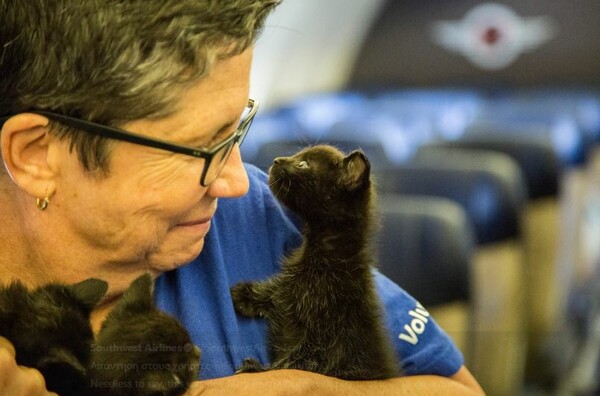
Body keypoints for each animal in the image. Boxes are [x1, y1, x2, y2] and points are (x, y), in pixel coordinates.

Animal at [232, 144, 400, 378]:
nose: (277, 160)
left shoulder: (329, 338)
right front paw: (245, 294)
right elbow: (277, 291)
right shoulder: (291, 287)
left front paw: (259, 369)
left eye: (304, 164)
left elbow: (300, 360)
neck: (324, 254)